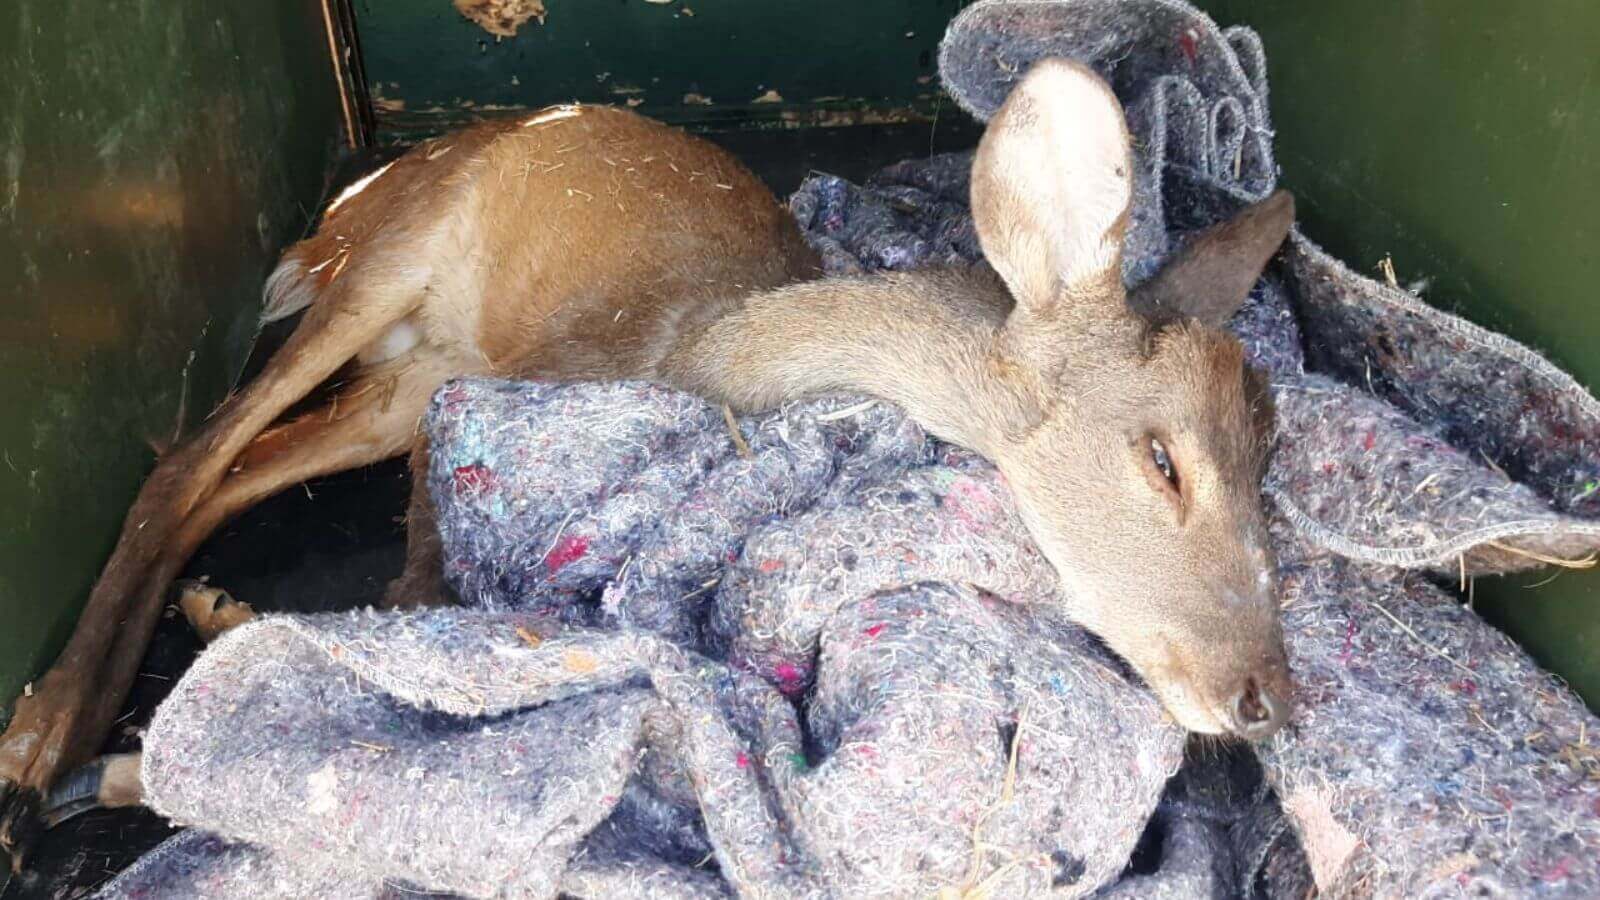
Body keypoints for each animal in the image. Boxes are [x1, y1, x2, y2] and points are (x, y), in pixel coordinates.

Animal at [0, 57, 1292, 864]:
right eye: (1163, 459)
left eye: (1268, 462)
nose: (1265, 694)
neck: (702, 351)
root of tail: (351, 199)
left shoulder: (452, 418)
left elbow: (415, 617)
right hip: (389, 257)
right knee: (186, 457)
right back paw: (45, 736)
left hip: (401, 379)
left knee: (242, 463)